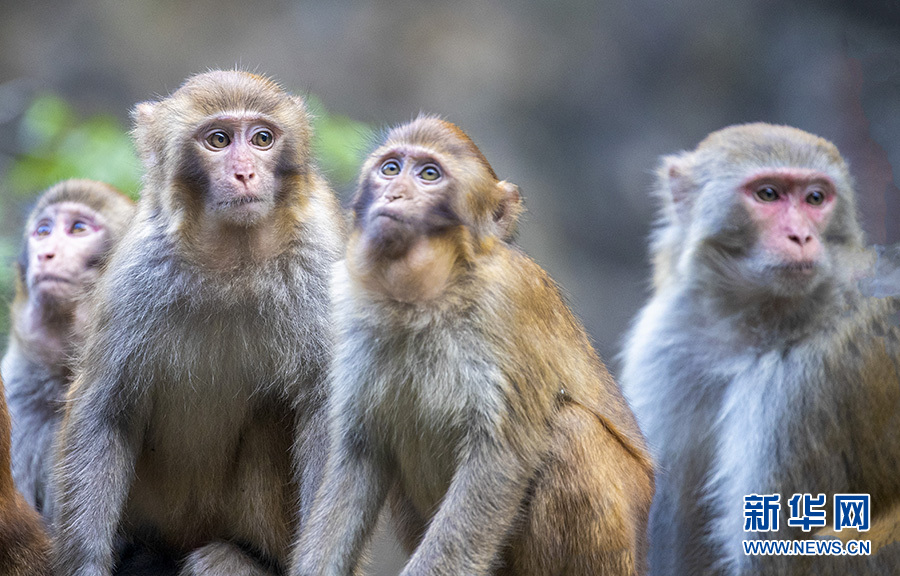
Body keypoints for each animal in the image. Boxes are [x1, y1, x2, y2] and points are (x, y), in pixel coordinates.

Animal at [50, 68, 344, 576]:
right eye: (218, 140)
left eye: (262, 139)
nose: (245, 173)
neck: (233, 257)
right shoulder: (139, 268)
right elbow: (105, 408)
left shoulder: (320, 261)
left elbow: (326, 410)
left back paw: (246, 557)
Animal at [296, 115, 652, 572]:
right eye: (390, 169)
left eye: (429, 175)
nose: (394, 193)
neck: (425, 298)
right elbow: (358, 454)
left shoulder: (508, 302)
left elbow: (498, 461)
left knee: (572, 430)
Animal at [624, 122, 900, 576]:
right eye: (768, 194)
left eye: (815, 198)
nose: (801, 236)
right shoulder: (666, 347)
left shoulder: (800, 390)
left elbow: (776, 556)